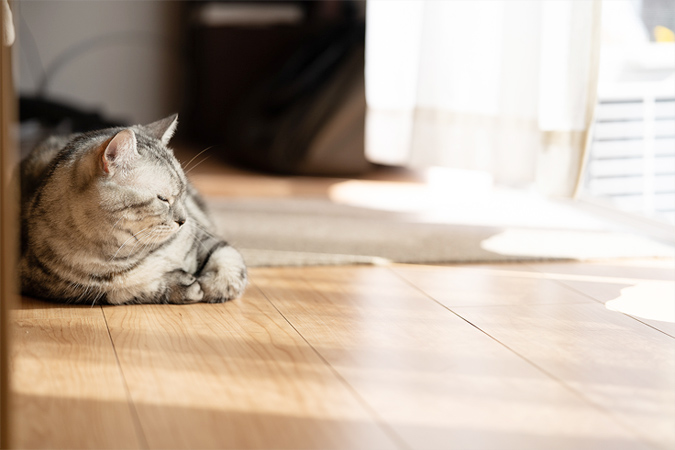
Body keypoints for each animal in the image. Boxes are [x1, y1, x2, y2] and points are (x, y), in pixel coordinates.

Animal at [19, 115, 250, 306]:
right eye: (163, 199)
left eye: (183, 194)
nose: (183, 220)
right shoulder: (58, 287)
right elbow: (128, 290)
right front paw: (184, 285)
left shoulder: (202, 236)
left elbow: (228, 260)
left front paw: (215, 286)